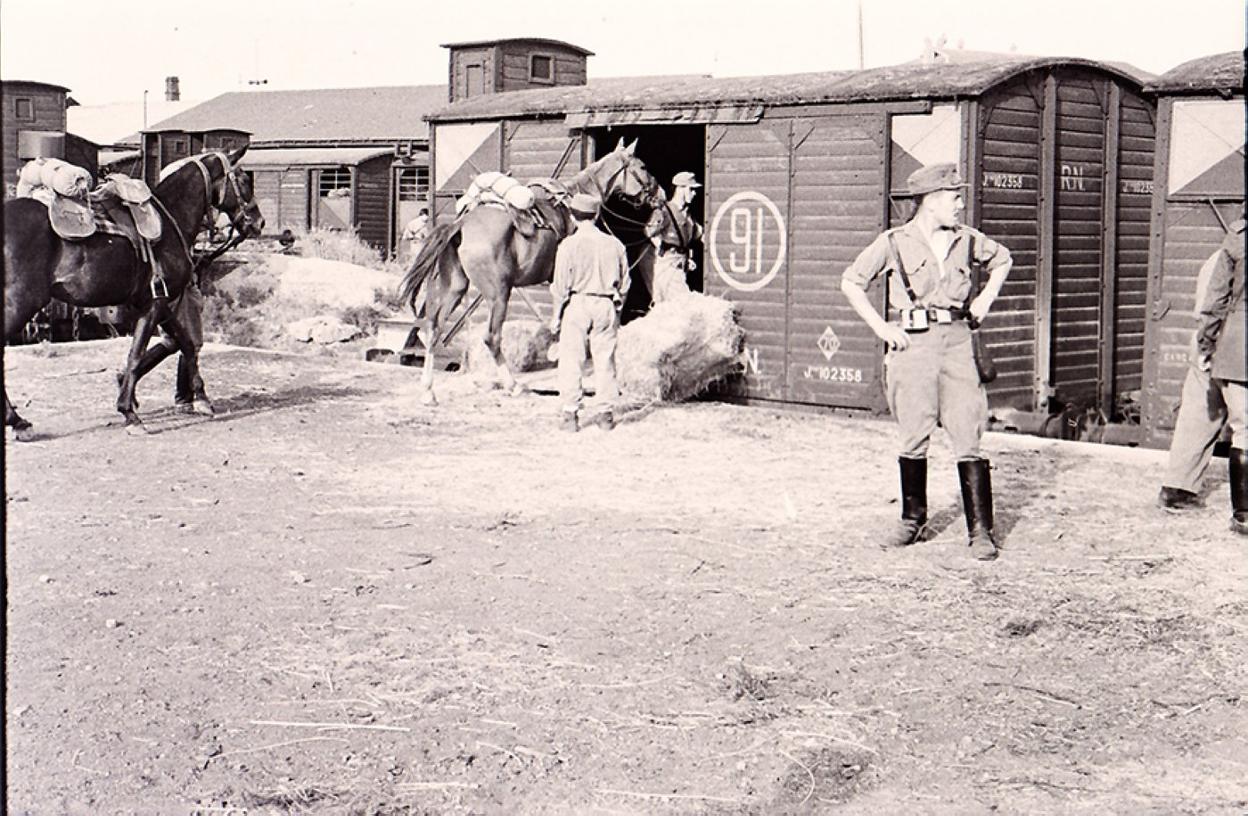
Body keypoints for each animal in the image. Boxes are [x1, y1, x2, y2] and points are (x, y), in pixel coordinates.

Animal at [4, 147, 263, 441]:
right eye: (244, 179)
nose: (259, 222)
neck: (170, 219)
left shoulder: (159, 304)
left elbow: (184, 343)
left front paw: (201, 398)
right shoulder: (154, 305)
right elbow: (137, 354)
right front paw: (129, 413)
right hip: (21, 302)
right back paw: (18, 421)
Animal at [399, 144, 658, 409]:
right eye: (642, 166)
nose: (657, 191)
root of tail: (460, 225)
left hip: (455, 288)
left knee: (434, 329)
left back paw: (428, 392)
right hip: (499, 294)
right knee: (491, 338)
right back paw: (513, 386)